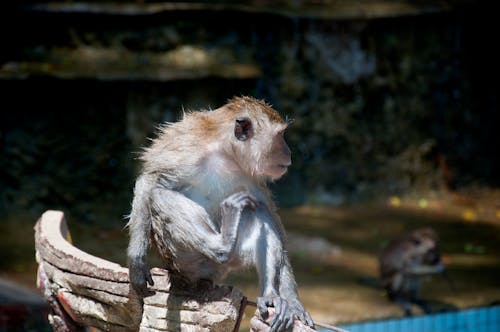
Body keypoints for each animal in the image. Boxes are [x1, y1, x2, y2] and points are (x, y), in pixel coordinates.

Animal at [126, 95, 312, 330]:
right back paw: (221, 245)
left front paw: (294, 303)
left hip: (230, 261)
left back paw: (270, 296)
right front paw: (137, 262)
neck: (226, 154)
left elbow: (273, 218)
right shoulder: (186, 148)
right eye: (280, 136)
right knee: (160, 195)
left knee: (258, 210)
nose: (289, 152)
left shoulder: (252, 176)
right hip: (184, 261)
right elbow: (151, 181)